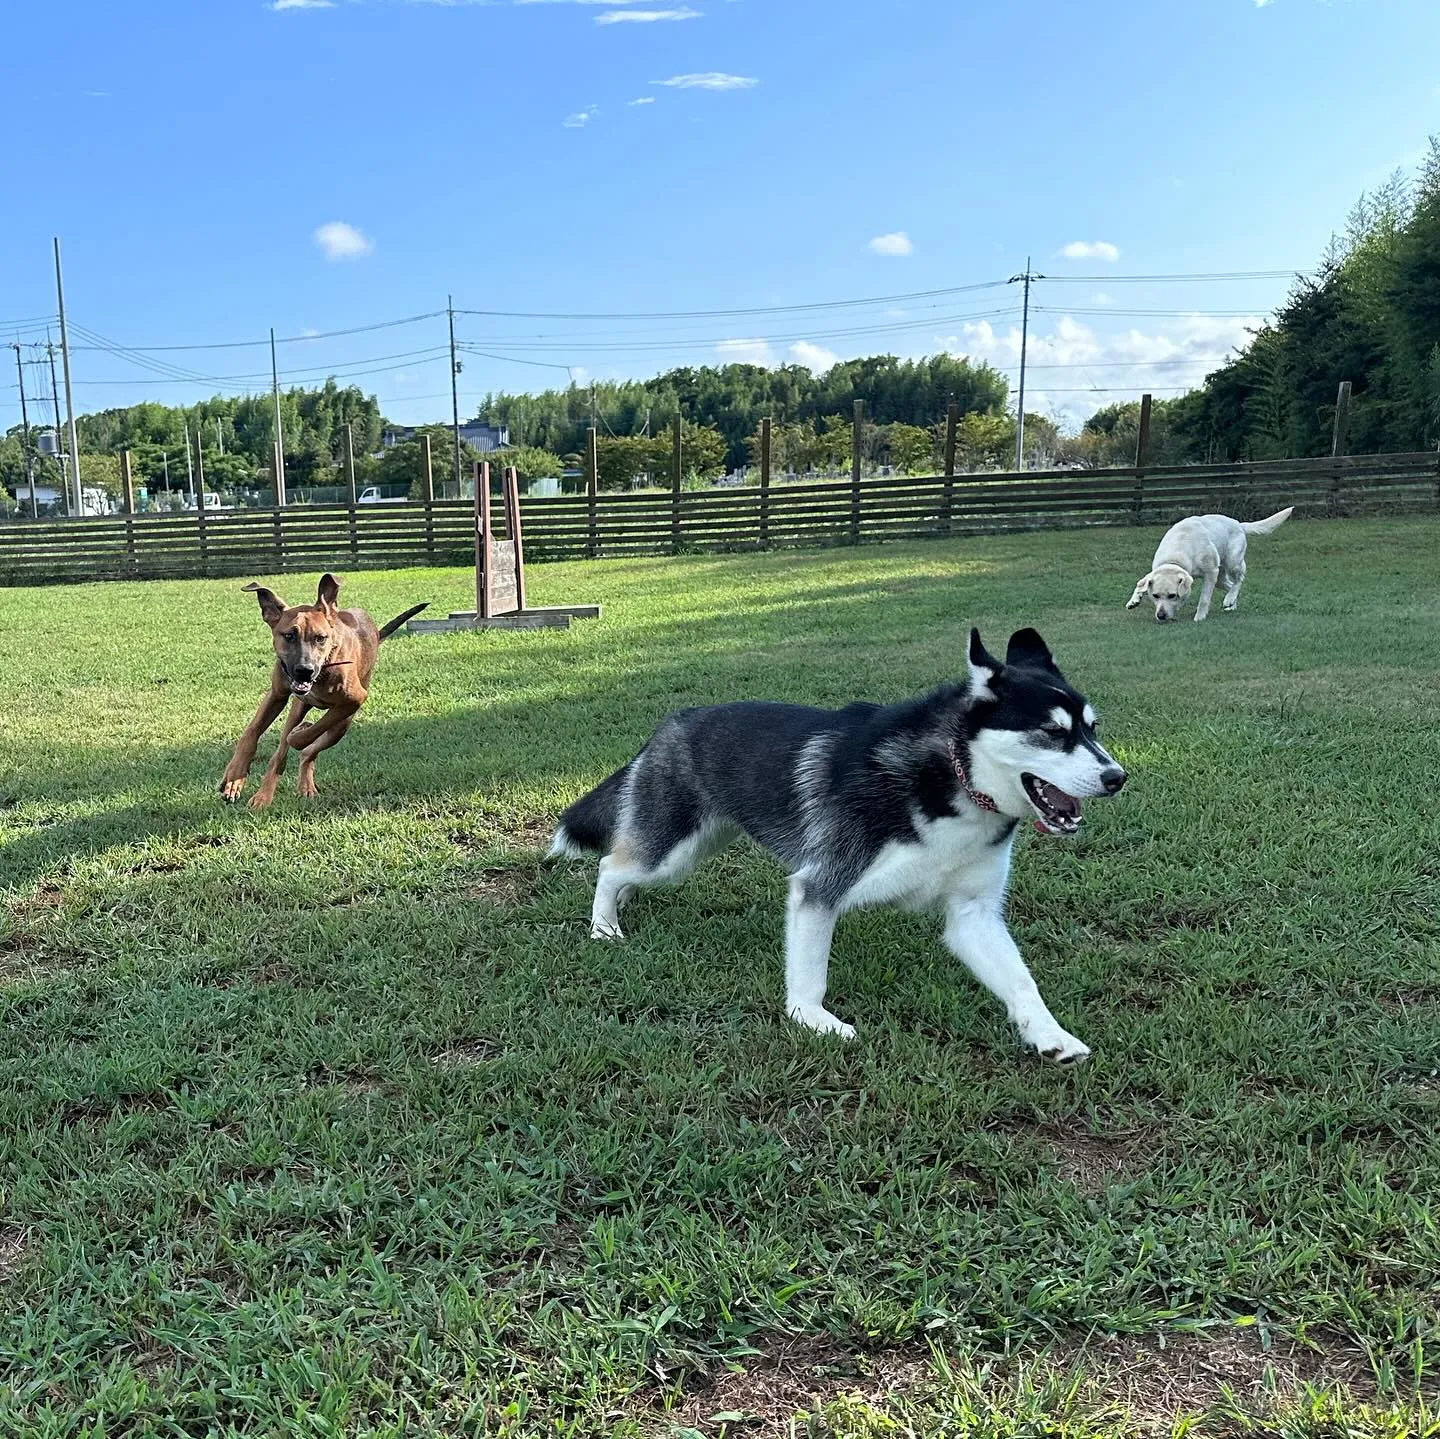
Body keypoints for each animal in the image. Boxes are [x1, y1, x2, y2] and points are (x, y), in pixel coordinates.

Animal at [216, 579, 423, 818]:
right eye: (289, 635)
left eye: (320, 638)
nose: (305, 670)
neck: (326, 665)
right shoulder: (277, 694)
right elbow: (251, 733)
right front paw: (234, 776)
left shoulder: (354, 700)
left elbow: (309, 733)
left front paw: (301, 732)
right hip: (298, 707)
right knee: (280, 755)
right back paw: (263, 797)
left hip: (342, 725)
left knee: (307, 750)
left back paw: (301, 780)